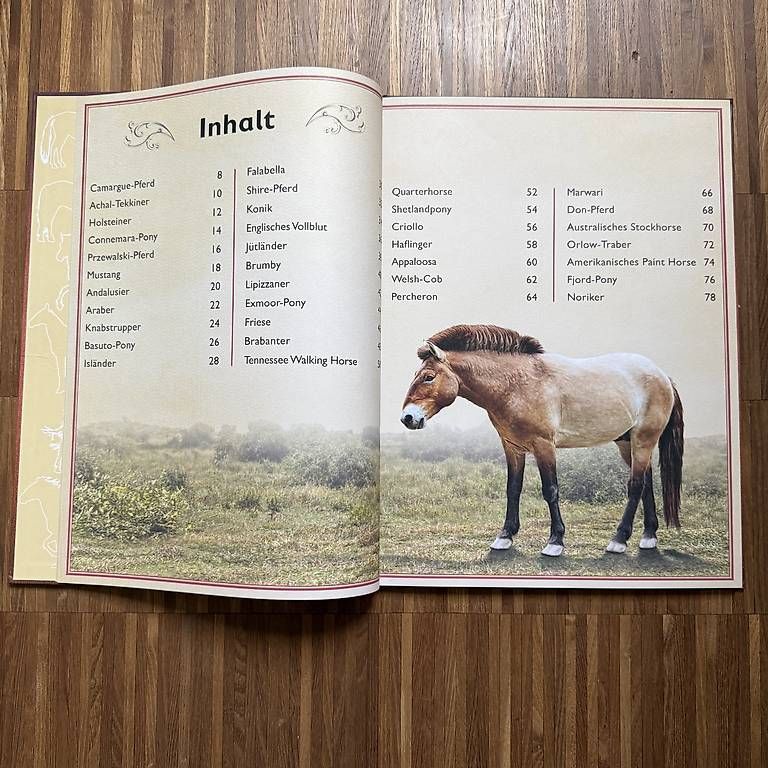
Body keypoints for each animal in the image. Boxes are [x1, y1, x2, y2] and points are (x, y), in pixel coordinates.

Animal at [399, 324, 684, 557]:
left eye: (429, 377)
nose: (408, 418)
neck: (517, 385)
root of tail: (662, 376)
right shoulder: (513, 447)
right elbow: (513, 489)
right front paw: (505, 537)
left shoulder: (544, 445)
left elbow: (551, 490)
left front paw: (555, 542)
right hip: (627, 443)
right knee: (645, 483)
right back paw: (648, 537)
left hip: (643, 440)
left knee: (635, 486)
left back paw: (619, 540)